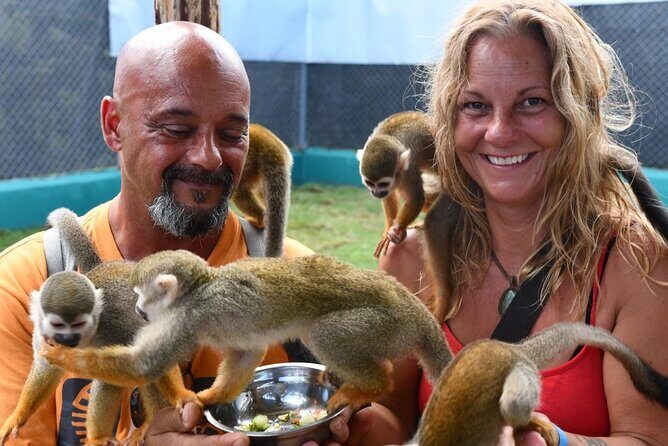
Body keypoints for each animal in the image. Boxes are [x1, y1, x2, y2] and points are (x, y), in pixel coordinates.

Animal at [0, 208, 193, 446]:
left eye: (78, 324)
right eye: (57, 325)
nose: (68, 339)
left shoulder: (117, 322)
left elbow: (148, 359)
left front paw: (178, 397)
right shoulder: (42, 331)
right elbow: (47, 368)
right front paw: (19, 414)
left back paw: (151, 420)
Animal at [41, 249, 452, 413]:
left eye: (141, 295)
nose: (140, 310)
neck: (200, 288)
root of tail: (416, 311)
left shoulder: (187, 317)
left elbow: (145, 365)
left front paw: (60, 354)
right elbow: (246, 353)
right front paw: (209, 398)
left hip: (386, 324)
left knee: (323, 333)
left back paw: (373, 385)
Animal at [356, 110, 438, 258]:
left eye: (383, 184)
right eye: (370, 183)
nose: (376, 193)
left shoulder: (409, 169)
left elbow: (416, 198)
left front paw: (398, 229)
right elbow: (389, 196)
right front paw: (389, 227)